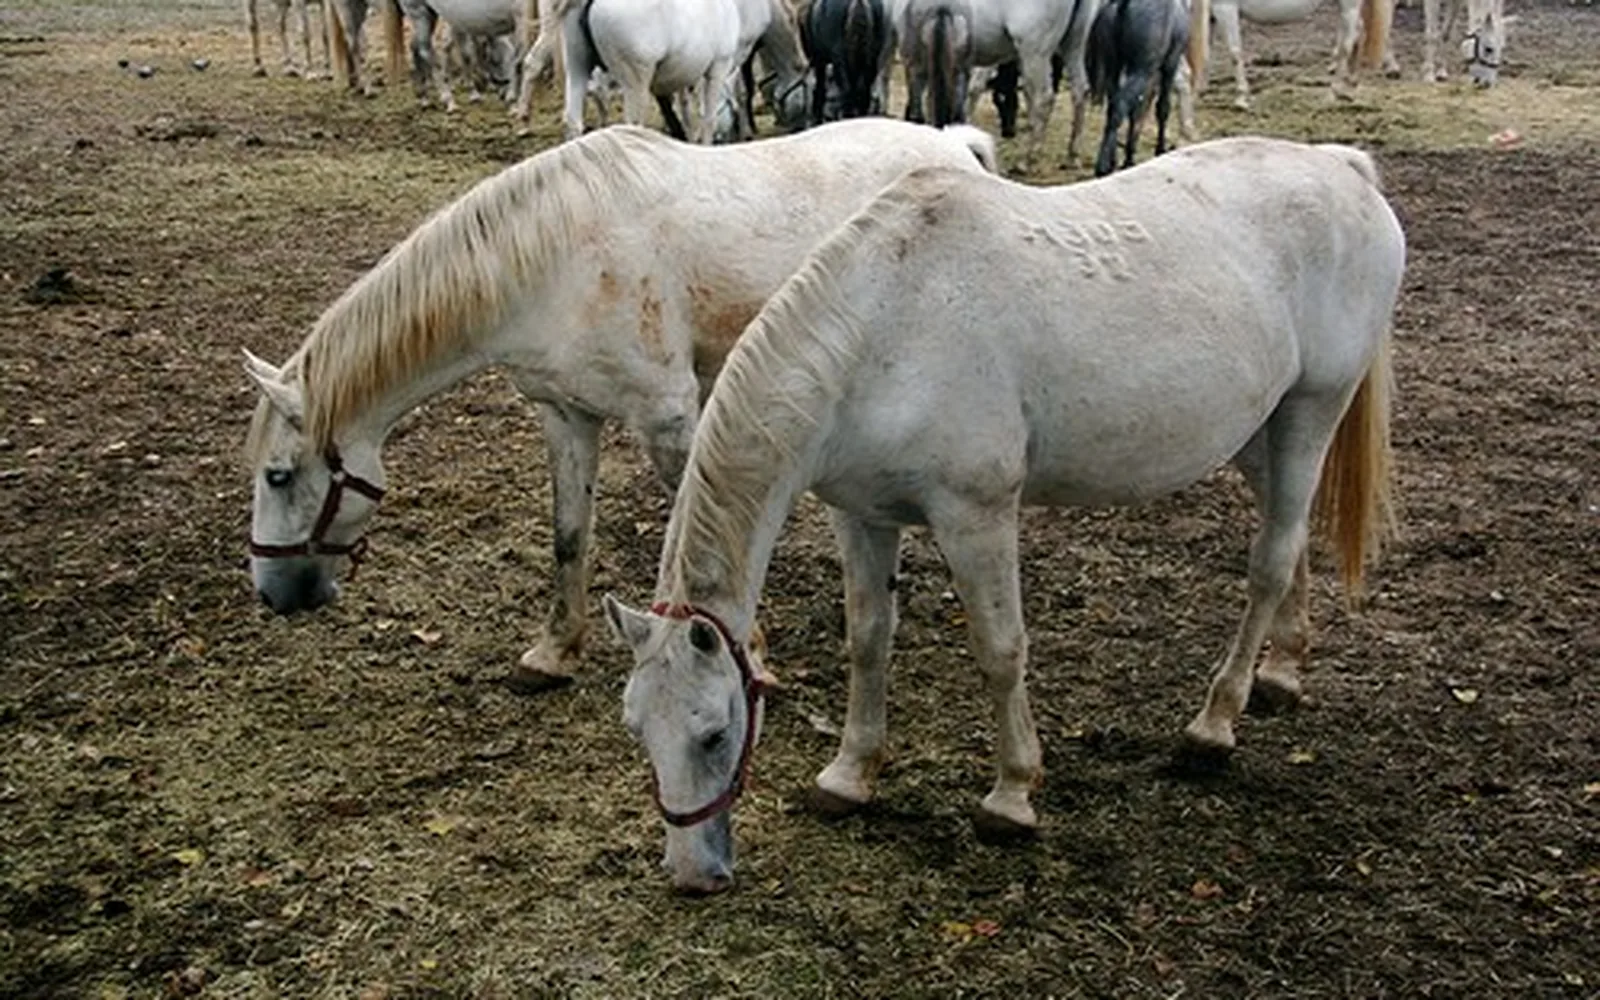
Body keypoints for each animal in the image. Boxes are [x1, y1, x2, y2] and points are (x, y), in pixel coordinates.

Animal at [242, 119, 999, 696]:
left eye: (278, 476)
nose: (273, 595)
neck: (557, 263)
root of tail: (953, 145)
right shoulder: (565, 414)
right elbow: (569, 535)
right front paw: (554, 651)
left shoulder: (669, 418)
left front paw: (751, 658)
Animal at [604, 136, 1404, 893]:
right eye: (636, 729)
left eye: (714, 734)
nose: (692, 876)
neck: (886, 333)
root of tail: (1343, 167)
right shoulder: (861, 516)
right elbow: (868, 638)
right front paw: (850, 775)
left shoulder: (975, 516)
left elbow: (1000, 649)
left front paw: (1012, 795)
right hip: (1256, 430)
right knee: (1288, 538)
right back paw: (1283, 672)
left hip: (1311, 410)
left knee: (1271, 560)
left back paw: (1213, 725)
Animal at [1085, 0, 1189, 175]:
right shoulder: (1170, 64)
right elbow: (1162, 108)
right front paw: (1160, 150)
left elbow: (1136, 110)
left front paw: (1129, 158)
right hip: (1142, 70)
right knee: (1120, 105)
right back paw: (1103, 165)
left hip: (1114, 67)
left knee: (1115, 106)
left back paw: (1113, 160)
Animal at [1203, 0, 1394, 109]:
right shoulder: (1210, 15)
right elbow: (1207, 53)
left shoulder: (1225, 9)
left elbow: (1234, 53)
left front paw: (1241, 99)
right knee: (1359, 34)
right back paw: (1350, 89)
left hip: (1349, 5)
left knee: (1346, 45)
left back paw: (1332, 93)